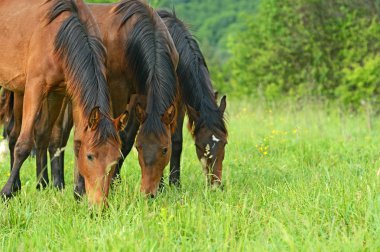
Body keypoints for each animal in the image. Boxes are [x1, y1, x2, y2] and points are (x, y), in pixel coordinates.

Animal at [0, 0, 127, 207]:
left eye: (116, 159)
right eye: (90, 156)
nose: (99, 206)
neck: (58, 35)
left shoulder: (65, 93)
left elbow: (74, 141)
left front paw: (78, 192)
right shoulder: (35, 87)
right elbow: (24, 144)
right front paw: (7, 192)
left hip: (21, 90)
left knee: (18, 134)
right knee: (15, 136)